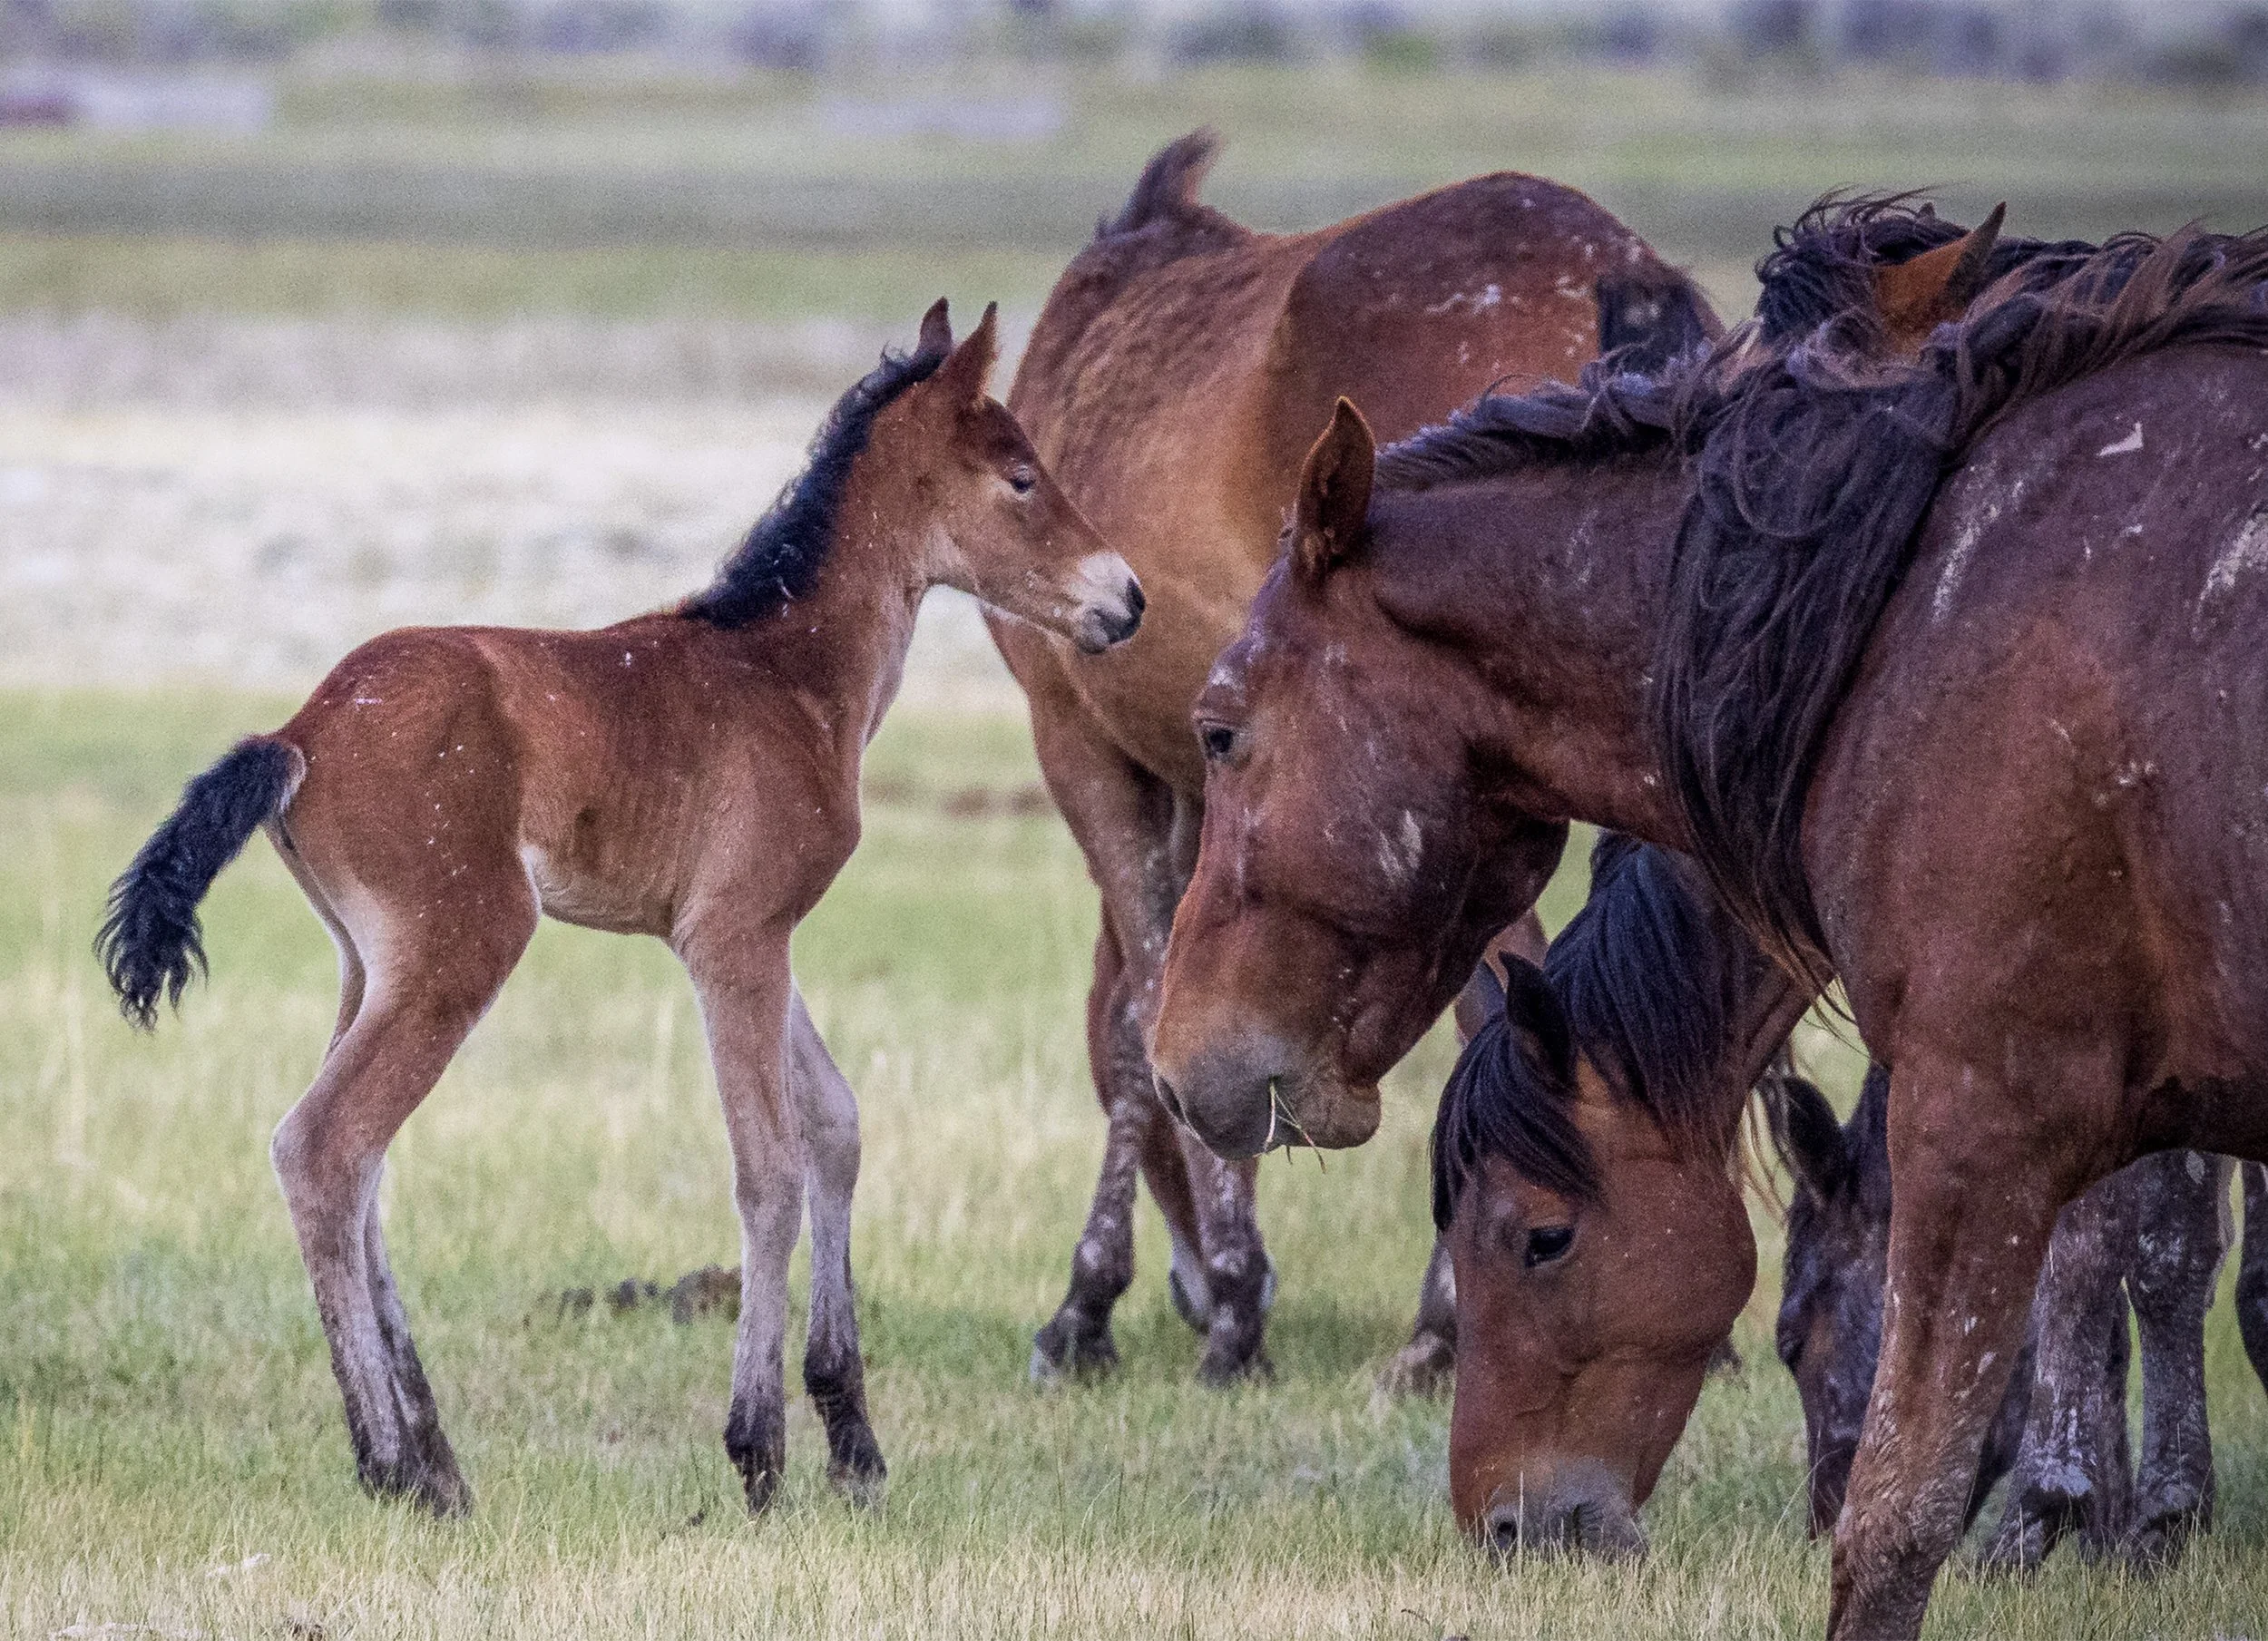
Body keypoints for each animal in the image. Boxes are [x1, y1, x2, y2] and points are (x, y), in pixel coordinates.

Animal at [96, 301, 1142, 1518]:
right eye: (1021, 477)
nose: (1127, 599)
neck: (787, 675)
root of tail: (298, 734)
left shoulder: (749, 940)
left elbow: (834, 1126)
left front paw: (855, 1443)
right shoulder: (733, 941)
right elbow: (768, 1169)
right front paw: (758, 1453)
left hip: (367, 962)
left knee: (363, 1174)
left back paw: (438, 1462)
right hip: (463, 947)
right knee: (325, 1146)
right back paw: (392, 1464)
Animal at [995, 130, 1719, 1383]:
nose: (1189, 1290)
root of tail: (1612, 272)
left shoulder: (1081, 747)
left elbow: (1134, 1022)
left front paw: (1130, 1306)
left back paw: (1438, 1329)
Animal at [1149, 218, 2268, 1638]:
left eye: (1220, 730)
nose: (1509, 1527)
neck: (1887, 614)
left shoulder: (1986, 1115)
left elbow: (1908, 1505)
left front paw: (2081, 1511)